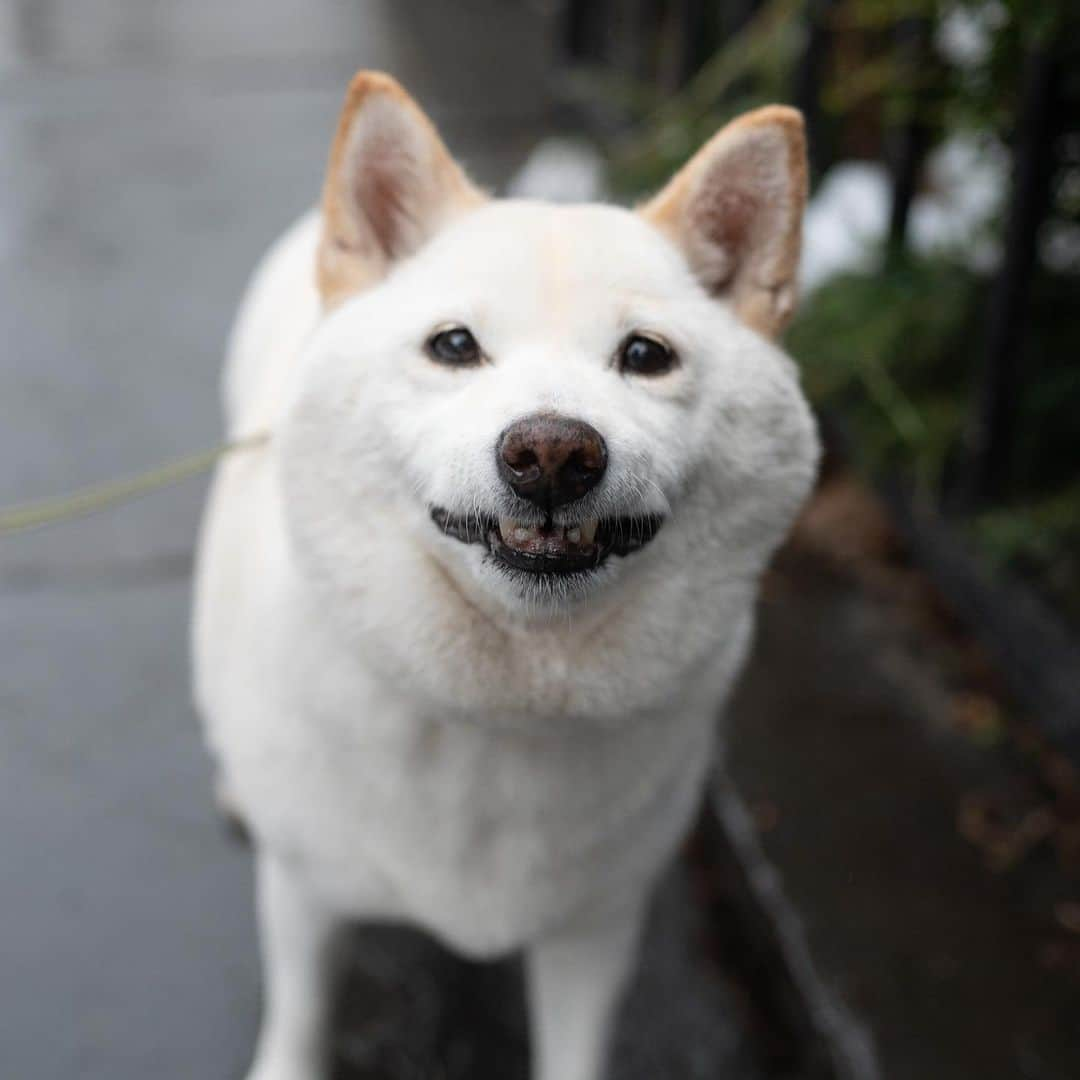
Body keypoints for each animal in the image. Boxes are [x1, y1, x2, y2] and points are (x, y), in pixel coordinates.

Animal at [194, 73, 816, 1080]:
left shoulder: (595, 929)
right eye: (454, 346)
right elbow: (299, 1019)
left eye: (646, 356)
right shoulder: (306, 894)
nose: (553, 454)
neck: (507, 706)